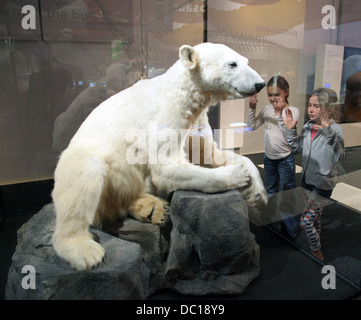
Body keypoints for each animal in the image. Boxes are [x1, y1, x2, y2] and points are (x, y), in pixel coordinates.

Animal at [52, 41, 268, 268]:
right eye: (232, 64)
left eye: (246, 61)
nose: (260, 84)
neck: (184, 93)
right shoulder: (165, 116)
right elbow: (166, 166)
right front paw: (237, 174)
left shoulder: (196, 121)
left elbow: (209, 155)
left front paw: (257, 192)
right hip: (90, 164)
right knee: (85, 176)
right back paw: (84, 250)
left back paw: (153, 209)